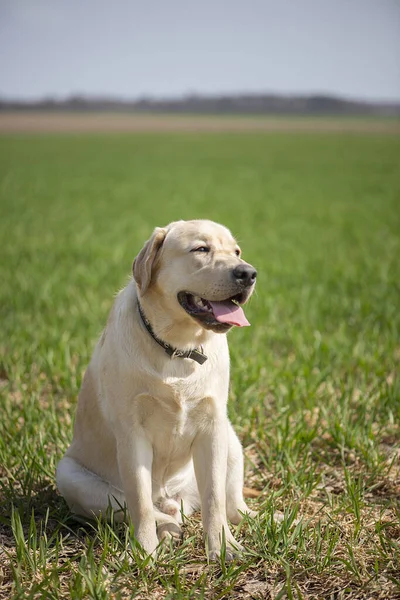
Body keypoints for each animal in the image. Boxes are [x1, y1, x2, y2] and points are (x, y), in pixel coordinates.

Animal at [55, 219, 256, 556]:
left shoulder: (212, 426)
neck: (178, 349)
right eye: (201, 249)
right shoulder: (132, 433)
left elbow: (214, 498)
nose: (248, 273)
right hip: (69, 475)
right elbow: (140, 503)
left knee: (232, 504)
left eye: (237, 251)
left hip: (230, 438)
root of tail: (174, 499)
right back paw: (168, 526)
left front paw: (223, 548)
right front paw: (144, 552)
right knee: (140, 507)